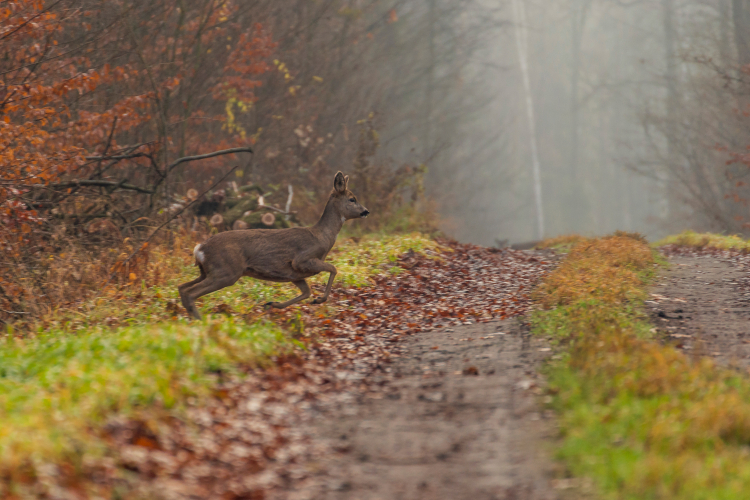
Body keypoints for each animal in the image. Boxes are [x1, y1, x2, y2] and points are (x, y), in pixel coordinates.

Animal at [180, 172, 374, 320]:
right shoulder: (302, 260)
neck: (322, 237)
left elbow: (306, 292)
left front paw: (272, 304)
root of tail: (199, 249)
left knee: (182, 288)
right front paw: (319, 300)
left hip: (207, 271)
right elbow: (333, 269)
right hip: (226, 271)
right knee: (190, 292)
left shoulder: (295, 274)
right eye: (352, 199)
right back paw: (199, 320)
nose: (366, 211)